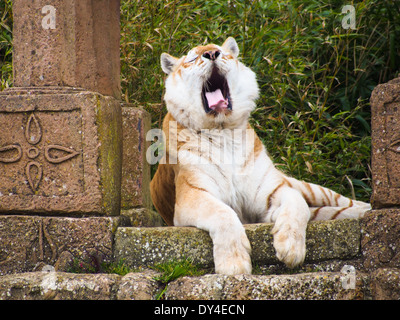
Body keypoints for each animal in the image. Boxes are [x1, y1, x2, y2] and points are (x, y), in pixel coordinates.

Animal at [151, 36, 372, 274]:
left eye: (220, 52)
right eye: (193, 58)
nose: (211, 54)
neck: (223, 131)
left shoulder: (272, 190)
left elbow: (297, 204)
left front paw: (290, 248)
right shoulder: (192, 195)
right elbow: (223, 213)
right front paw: (234, 265)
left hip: (305, 186)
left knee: (340, 201)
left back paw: (368, 209)